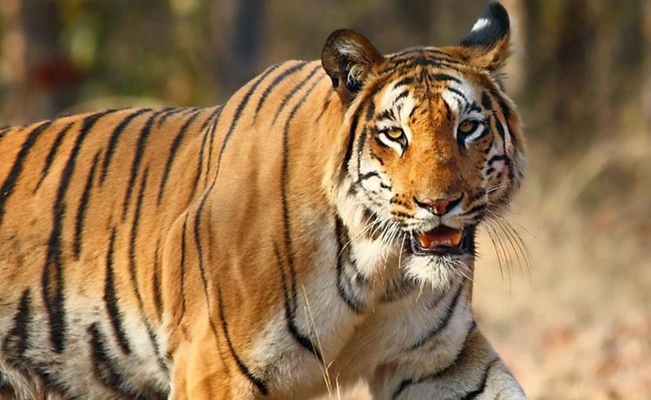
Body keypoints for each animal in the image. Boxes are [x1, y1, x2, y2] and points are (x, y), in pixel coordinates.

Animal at [0, 2, 528, 399]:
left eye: (468, 128)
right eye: (395, 134)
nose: (439, 204)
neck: (380, 271)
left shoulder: (440, 362)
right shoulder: (213, 367)